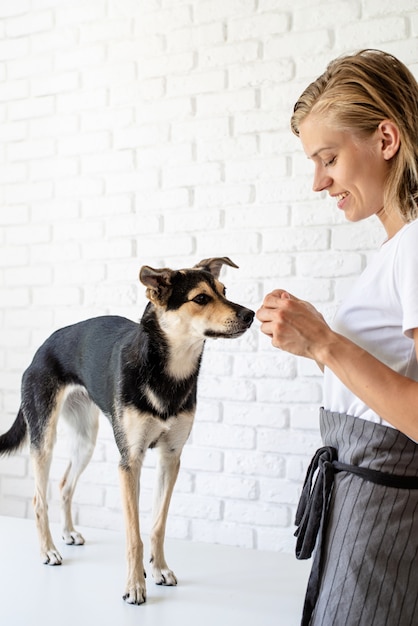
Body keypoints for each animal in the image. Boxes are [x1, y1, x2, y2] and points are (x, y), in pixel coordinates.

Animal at [0, 256, 255, 604]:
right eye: (201, 298)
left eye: (224, 291)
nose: (251, 314)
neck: (168, 372)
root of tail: (41, 348)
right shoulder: (130, 461)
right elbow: (134, 535)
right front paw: (135, 586)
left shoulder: (170, 458)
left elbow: (158, 525)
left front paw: (159, 570)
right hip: (44, 436)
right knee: (40, 499)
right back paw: (49, 550)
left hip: (86, 440)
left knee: (65, 484)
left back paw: (68, 533)